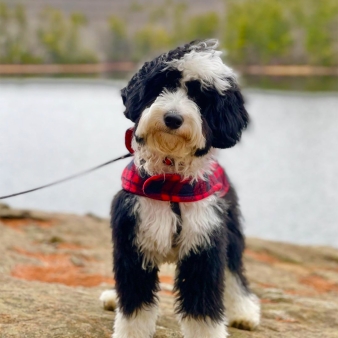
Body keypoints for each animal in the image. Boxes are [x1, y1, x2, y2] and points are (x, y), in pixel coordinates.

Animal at [99, 39, 258, 338]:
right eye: (163, 85)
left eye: (201, 97)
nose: (172, 118)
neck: (170, 180)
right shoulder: (133, 239)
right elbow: (134, 304)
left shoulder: (205, 244)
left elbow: (202, 311)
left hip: (230, 231)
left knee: (234, 273)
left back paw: (244, 312)